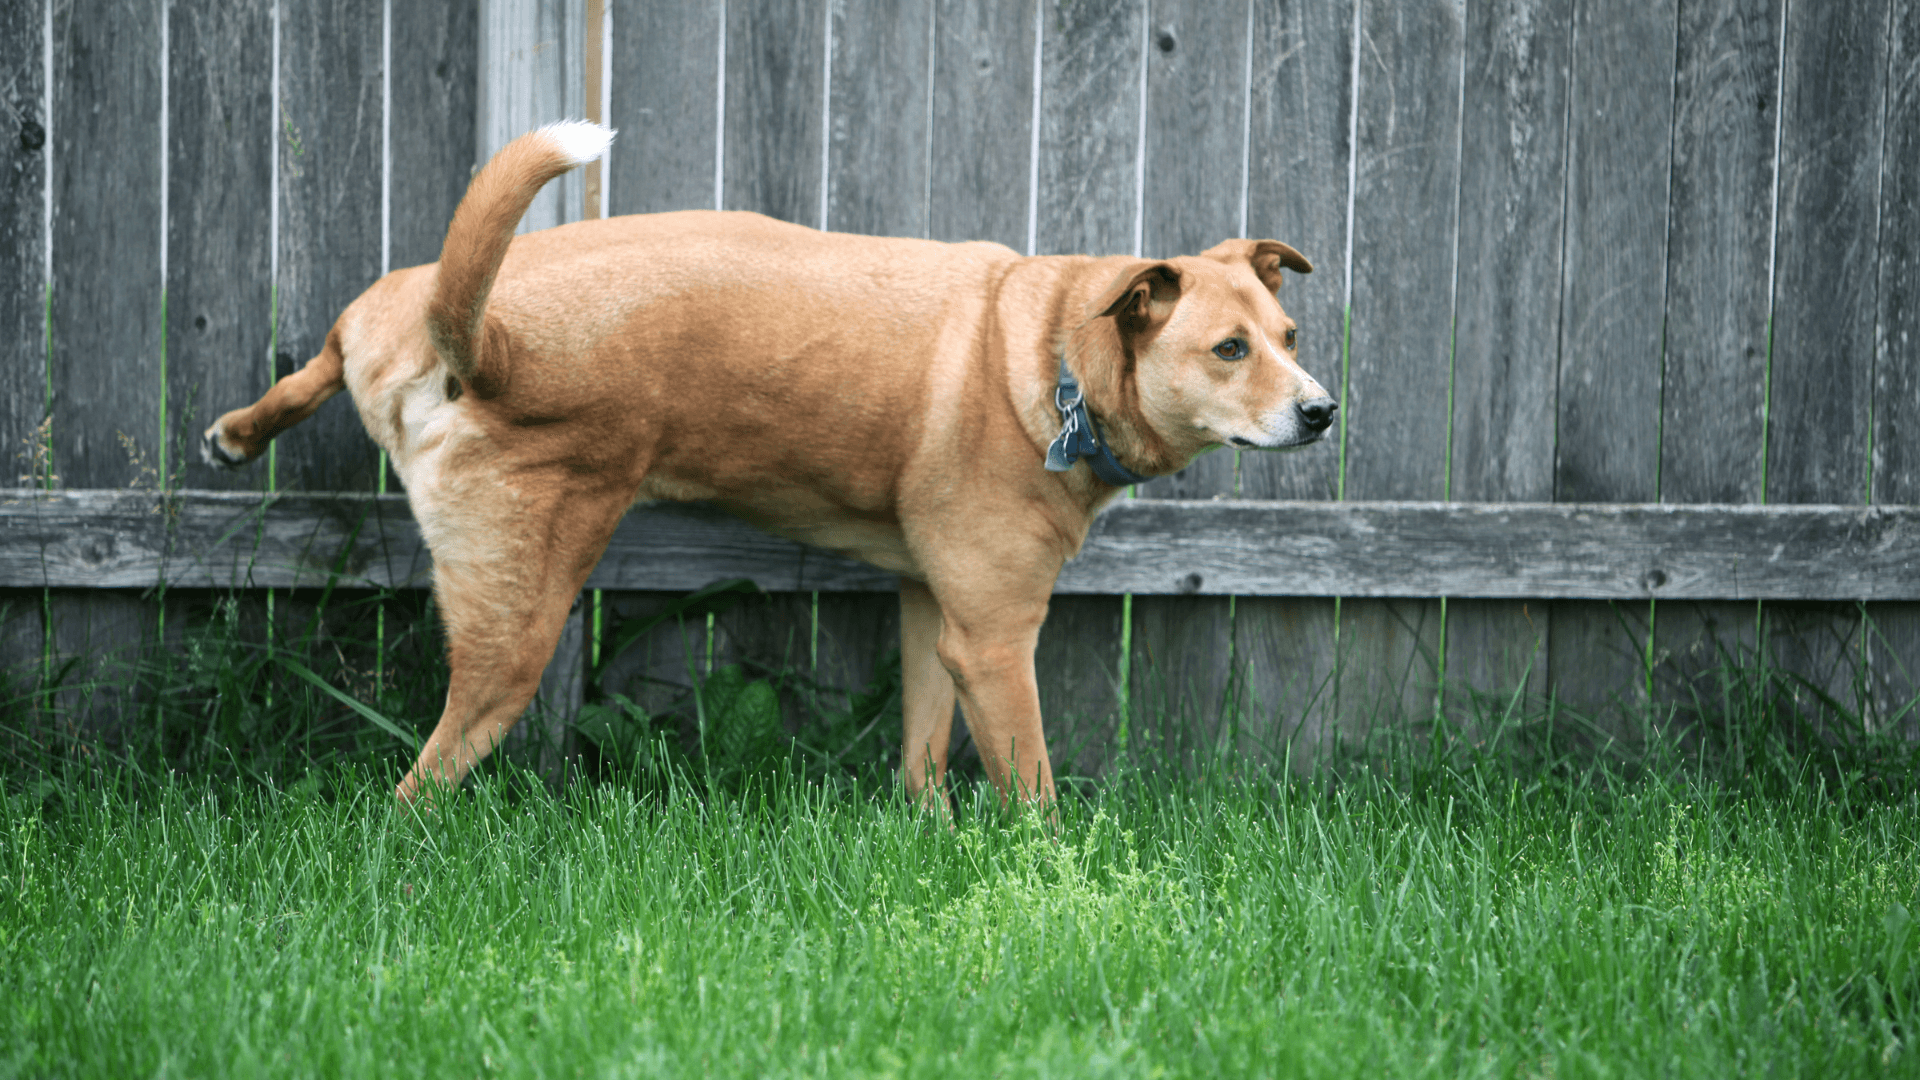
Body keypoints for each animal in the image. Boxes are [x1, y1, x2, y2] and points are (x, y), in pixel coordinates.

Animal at [198, 123, 1336, 799]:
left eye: (1289, 335)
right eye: (1229, 350)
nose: (1324, 411)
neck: (1054, 348)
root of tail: (478, 337)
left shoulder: (938, 613)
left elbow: (923, 752)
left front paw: (928, 836)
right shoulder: (996, 639)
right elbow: (1034, 789)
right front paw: (1050, 884)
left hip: (383, 311)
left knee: (323, 354)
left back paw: (243, 430)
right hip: (516, 623)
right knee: (420, 783)